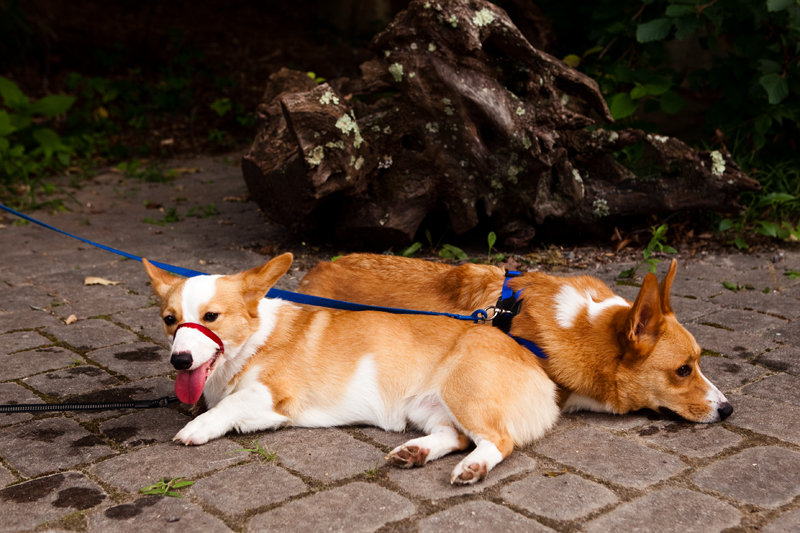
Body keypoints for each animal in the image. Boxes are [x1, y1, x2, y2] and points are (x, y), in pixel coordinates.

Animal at [142, 254, 556, 482]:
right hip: (425, 409)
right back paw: (416, 452)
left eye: (211, 317)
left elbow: (229, 404)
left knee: (498, 440)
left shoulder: (274, 396)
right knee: (456, 437)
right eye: (169, 320)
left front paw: (197, 427)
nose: (179, 360)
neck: (251, 343)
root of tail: (539, 373)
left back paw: (474, 468)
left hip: (462, 393)